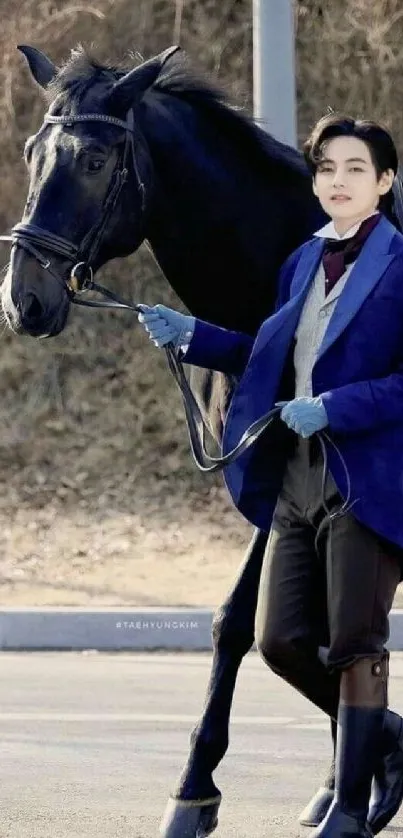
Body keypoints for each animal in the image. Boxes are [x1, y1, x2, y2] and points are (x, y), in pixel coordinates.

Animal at [1, 46, 400, 838]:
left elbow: (241, 624)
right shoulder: (271, 482)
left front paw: (194, 788)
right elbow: (292, 629)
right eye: (32, 152)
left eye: (95, 160)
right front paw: (356, 778)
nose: (23, 299)